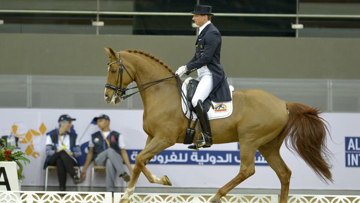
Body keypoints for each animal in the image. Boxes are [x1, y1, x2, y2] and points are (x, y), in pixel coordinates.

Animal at [102, 47, 330, 203]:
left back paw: (217, 196)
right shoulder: (152, 137)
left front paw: (158, 182)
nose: (107, 96)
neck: (161, 93)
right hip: (268, 146)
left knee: (247, 170)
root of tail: (283, 103)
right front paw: (130, 193)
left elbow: (140, 159)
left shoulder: (164, 138)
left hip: (249, 140)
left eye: (113, 69)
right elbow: (139, 162)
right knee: (284, 173)